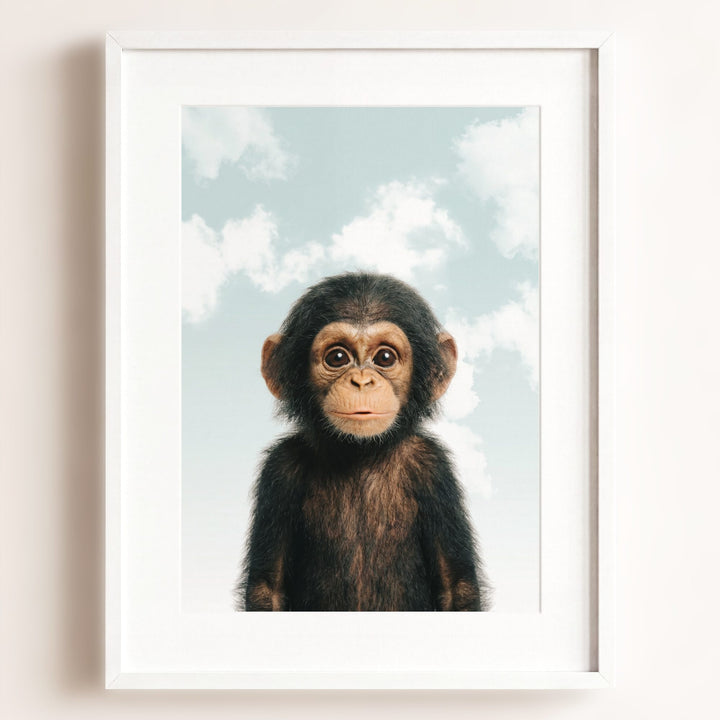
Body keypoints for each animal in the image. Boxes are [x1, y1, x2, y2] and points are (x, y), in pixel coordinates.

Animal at [237, 272, 490, 611]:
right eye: (337, 357)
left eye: (385, 357)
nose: (361, 381)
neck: (360, 453)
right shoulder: (279, 469)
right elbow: (268, 588)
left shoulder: (433, 467)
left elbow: (456, 586)